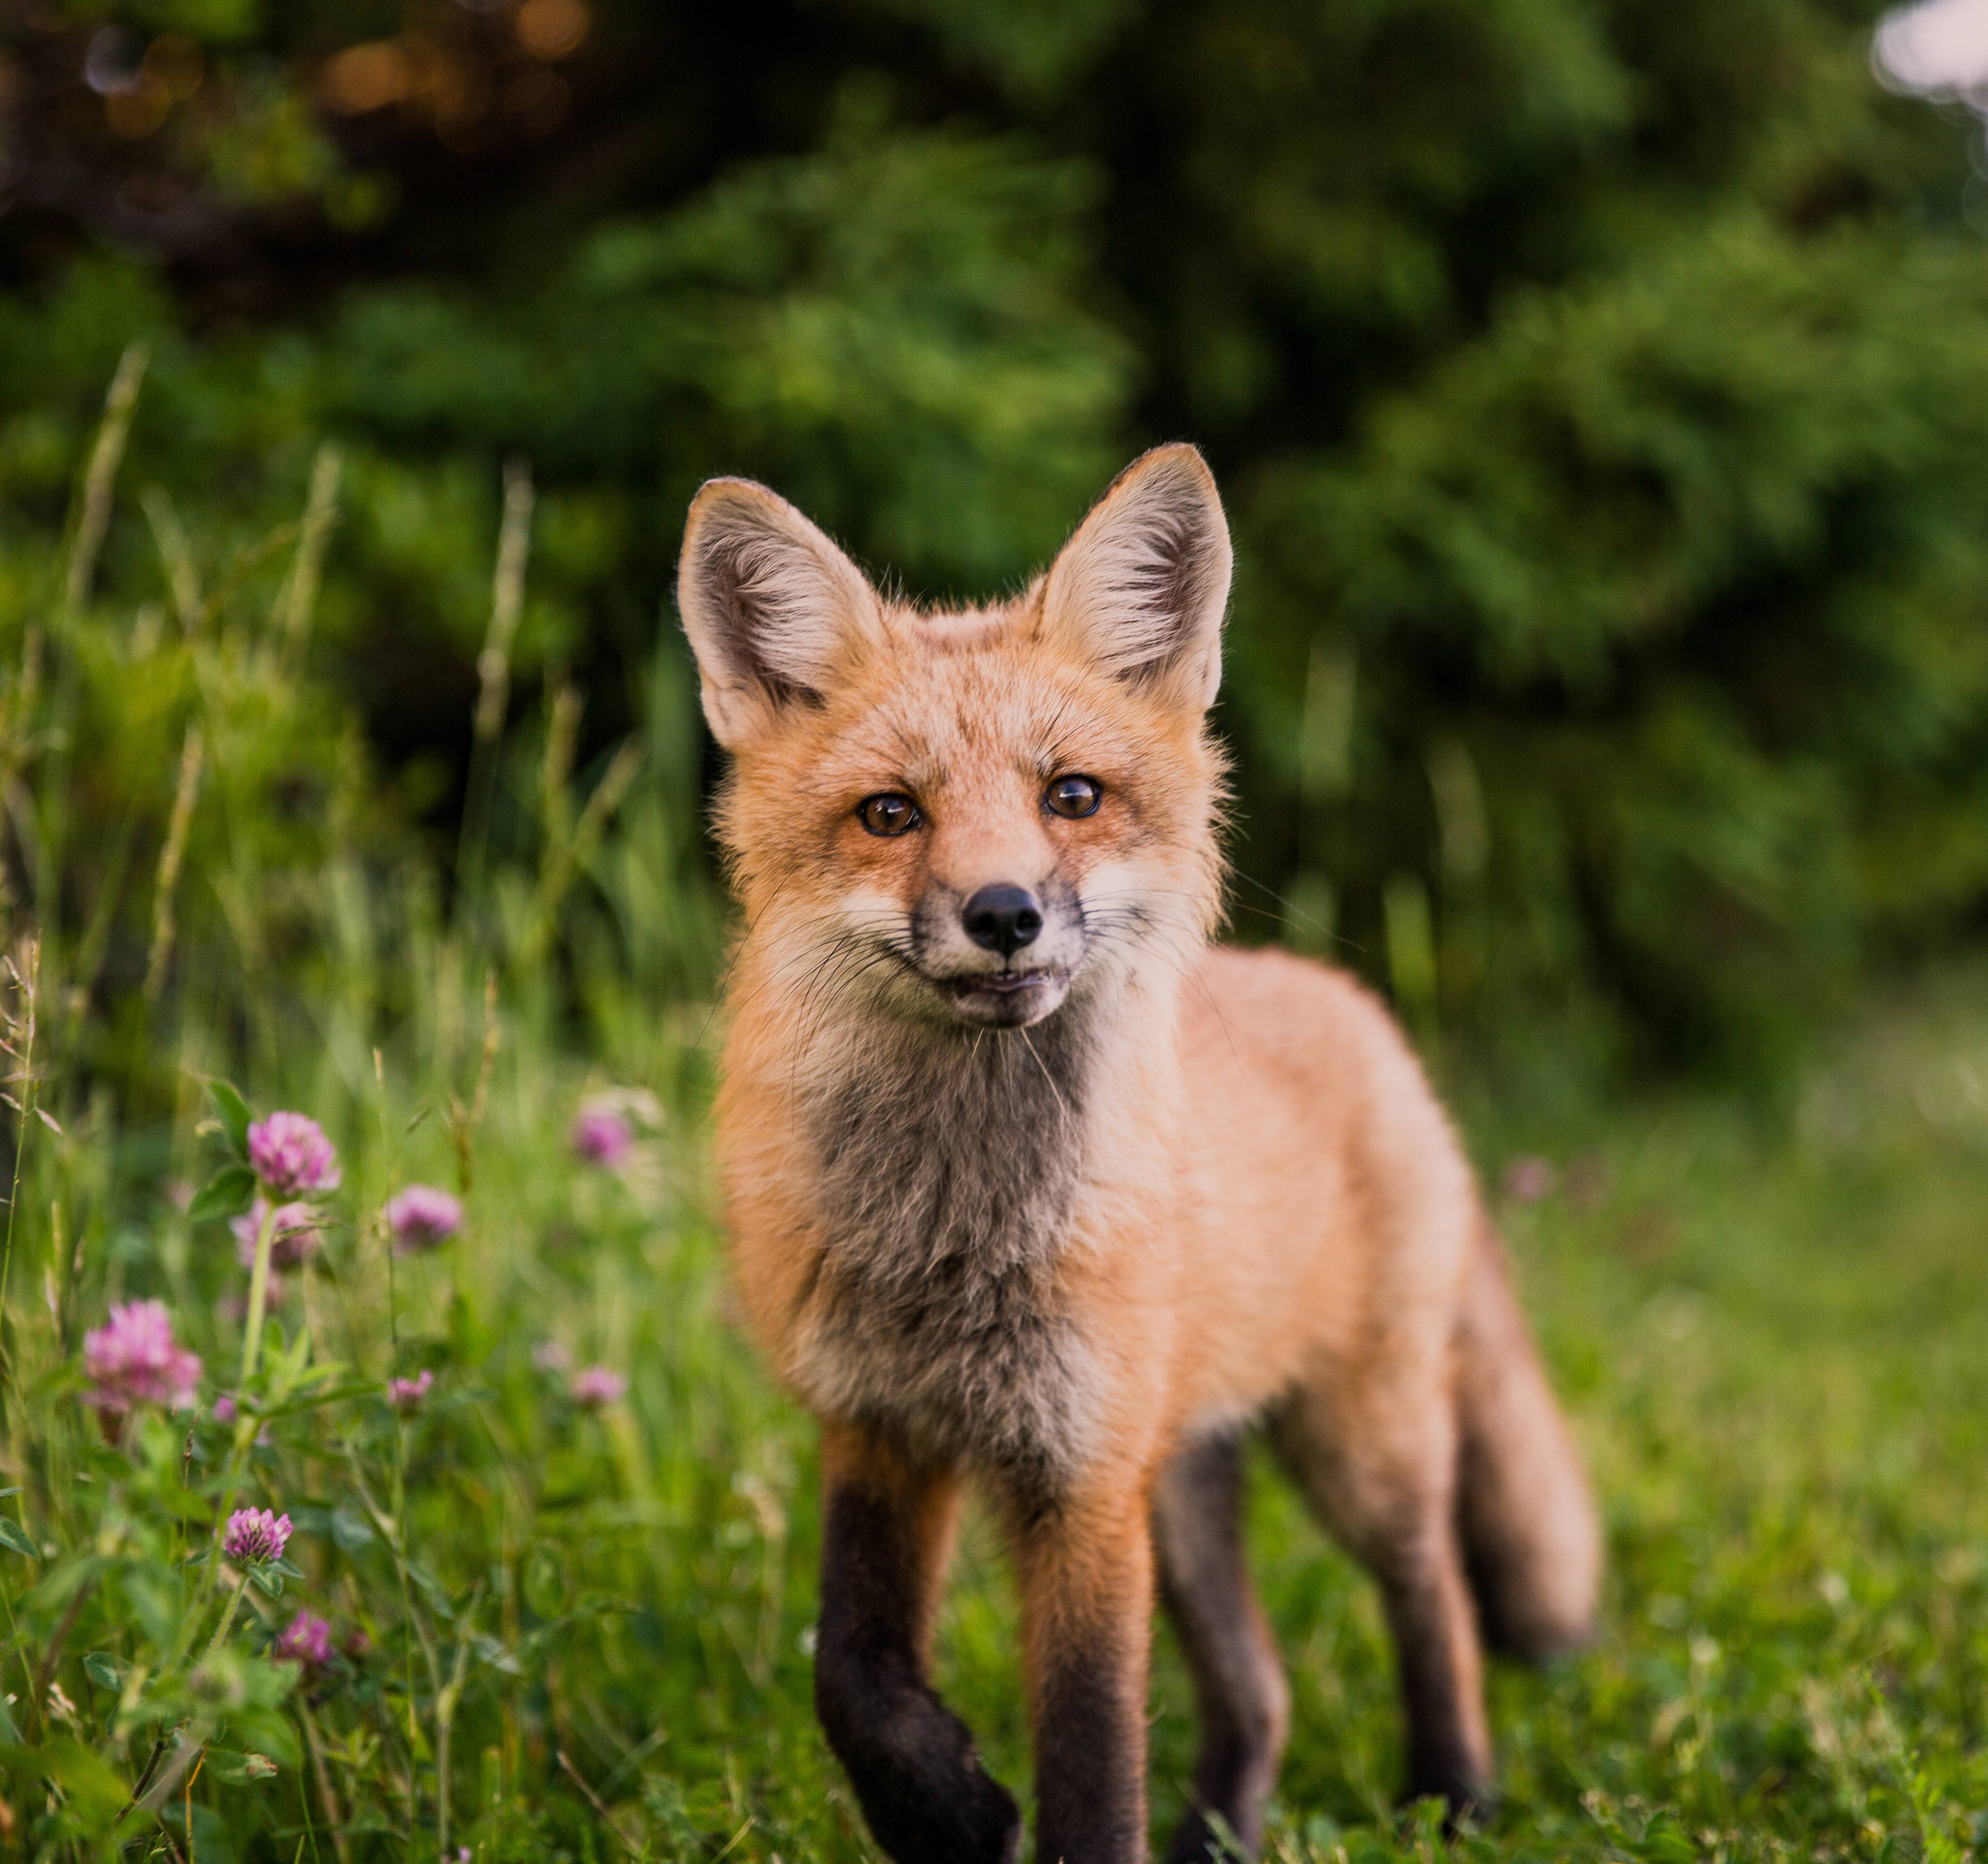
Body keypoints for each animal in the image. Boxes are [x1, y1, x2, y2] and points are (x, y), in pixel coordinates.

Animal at [676, 443, 1606, 1852]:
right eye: (890, 814)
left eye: (1072, 797)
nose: (1003, 913)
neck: (957, 1242)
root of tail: (1356, 1007)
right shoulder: (883, 1426)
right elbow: (852, 1671)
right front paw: (946, 1813)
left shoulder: (1081, 1477)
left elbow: (1091, 1753)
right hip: (1186, 1484)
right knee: (1265, 1687)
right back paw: (1221, 1833)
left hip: (1357, 1447)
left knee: (1434, 1588)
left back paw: (1455, 1793)